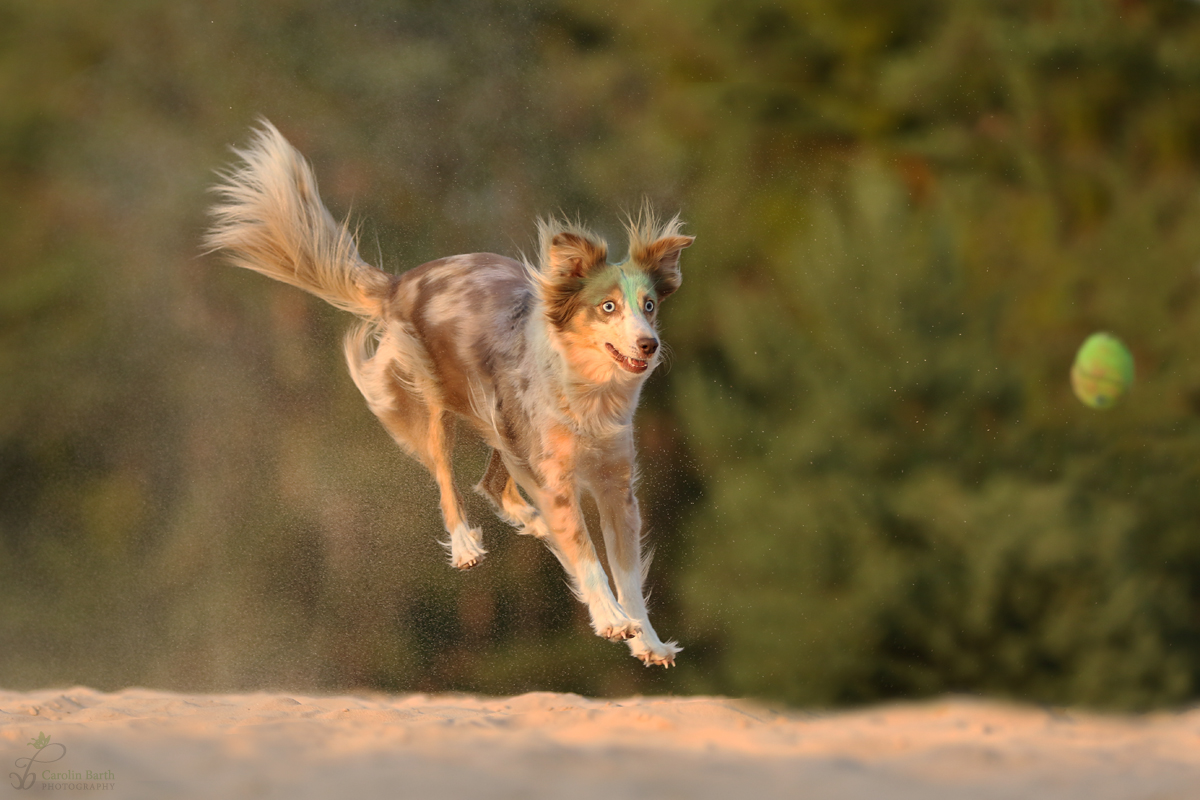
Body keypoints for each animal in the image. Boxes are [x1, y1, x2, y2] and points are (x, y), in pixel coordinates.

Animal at [207, 122, 696, 666]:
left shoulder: (615, 484)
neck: (589, 392)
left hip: (502, 420)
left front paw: (647, 639)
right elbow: (587, 555)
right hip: (435, 400)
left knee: (492, 483)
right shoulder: (556, 479)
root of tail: (401, 280)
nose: (648, 345)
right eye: (607, 307)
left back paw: (531, 522)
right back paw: (466, 546)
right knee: (446, 476)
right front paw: (611, 619)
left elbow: (628, 574)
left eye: (649, 305)